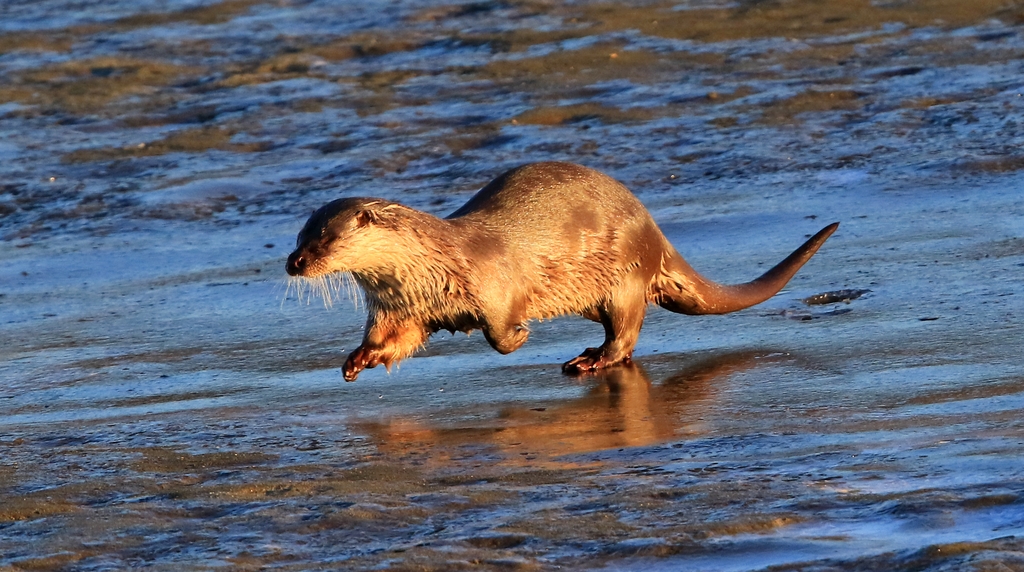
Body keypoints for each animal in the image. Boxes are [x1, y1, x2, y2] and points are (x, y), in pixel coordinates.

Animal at [288, 161, 839, 382]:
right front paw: (357, 360)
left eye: (324, 240)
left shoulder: (493, 286)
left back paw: (590, 361)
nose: (293, 263)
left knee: (626, 333)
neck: (432, 265)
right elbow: (396, 342)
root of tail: (655, 233)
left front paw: (521, 337)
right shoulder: (399, 309)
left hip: (624, 277)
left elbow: (499, 330)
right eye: (298, 236)